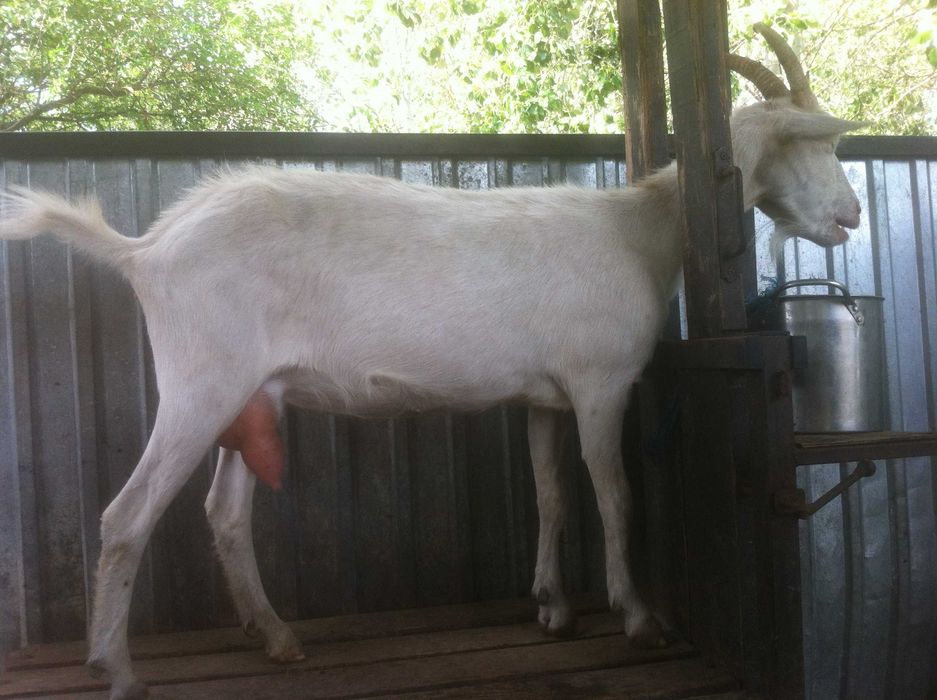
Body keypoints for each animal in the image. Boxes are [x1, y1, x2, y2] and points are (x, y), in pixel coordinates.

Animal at [0, 24, 862, 700]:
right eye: (811, 141)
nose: (851, 216)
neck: (639, 230)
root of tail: (145, 249)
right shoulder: (600, 382)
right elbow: (613, 496)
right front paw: (637, 617)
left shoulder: (543, 396)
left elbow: (551, 495)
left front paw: (551, 606)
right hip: (200, 379)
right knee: (126, 517)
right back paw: (116, 668)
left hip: (251, 392)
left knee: (225, 512)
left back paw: (275, 636)